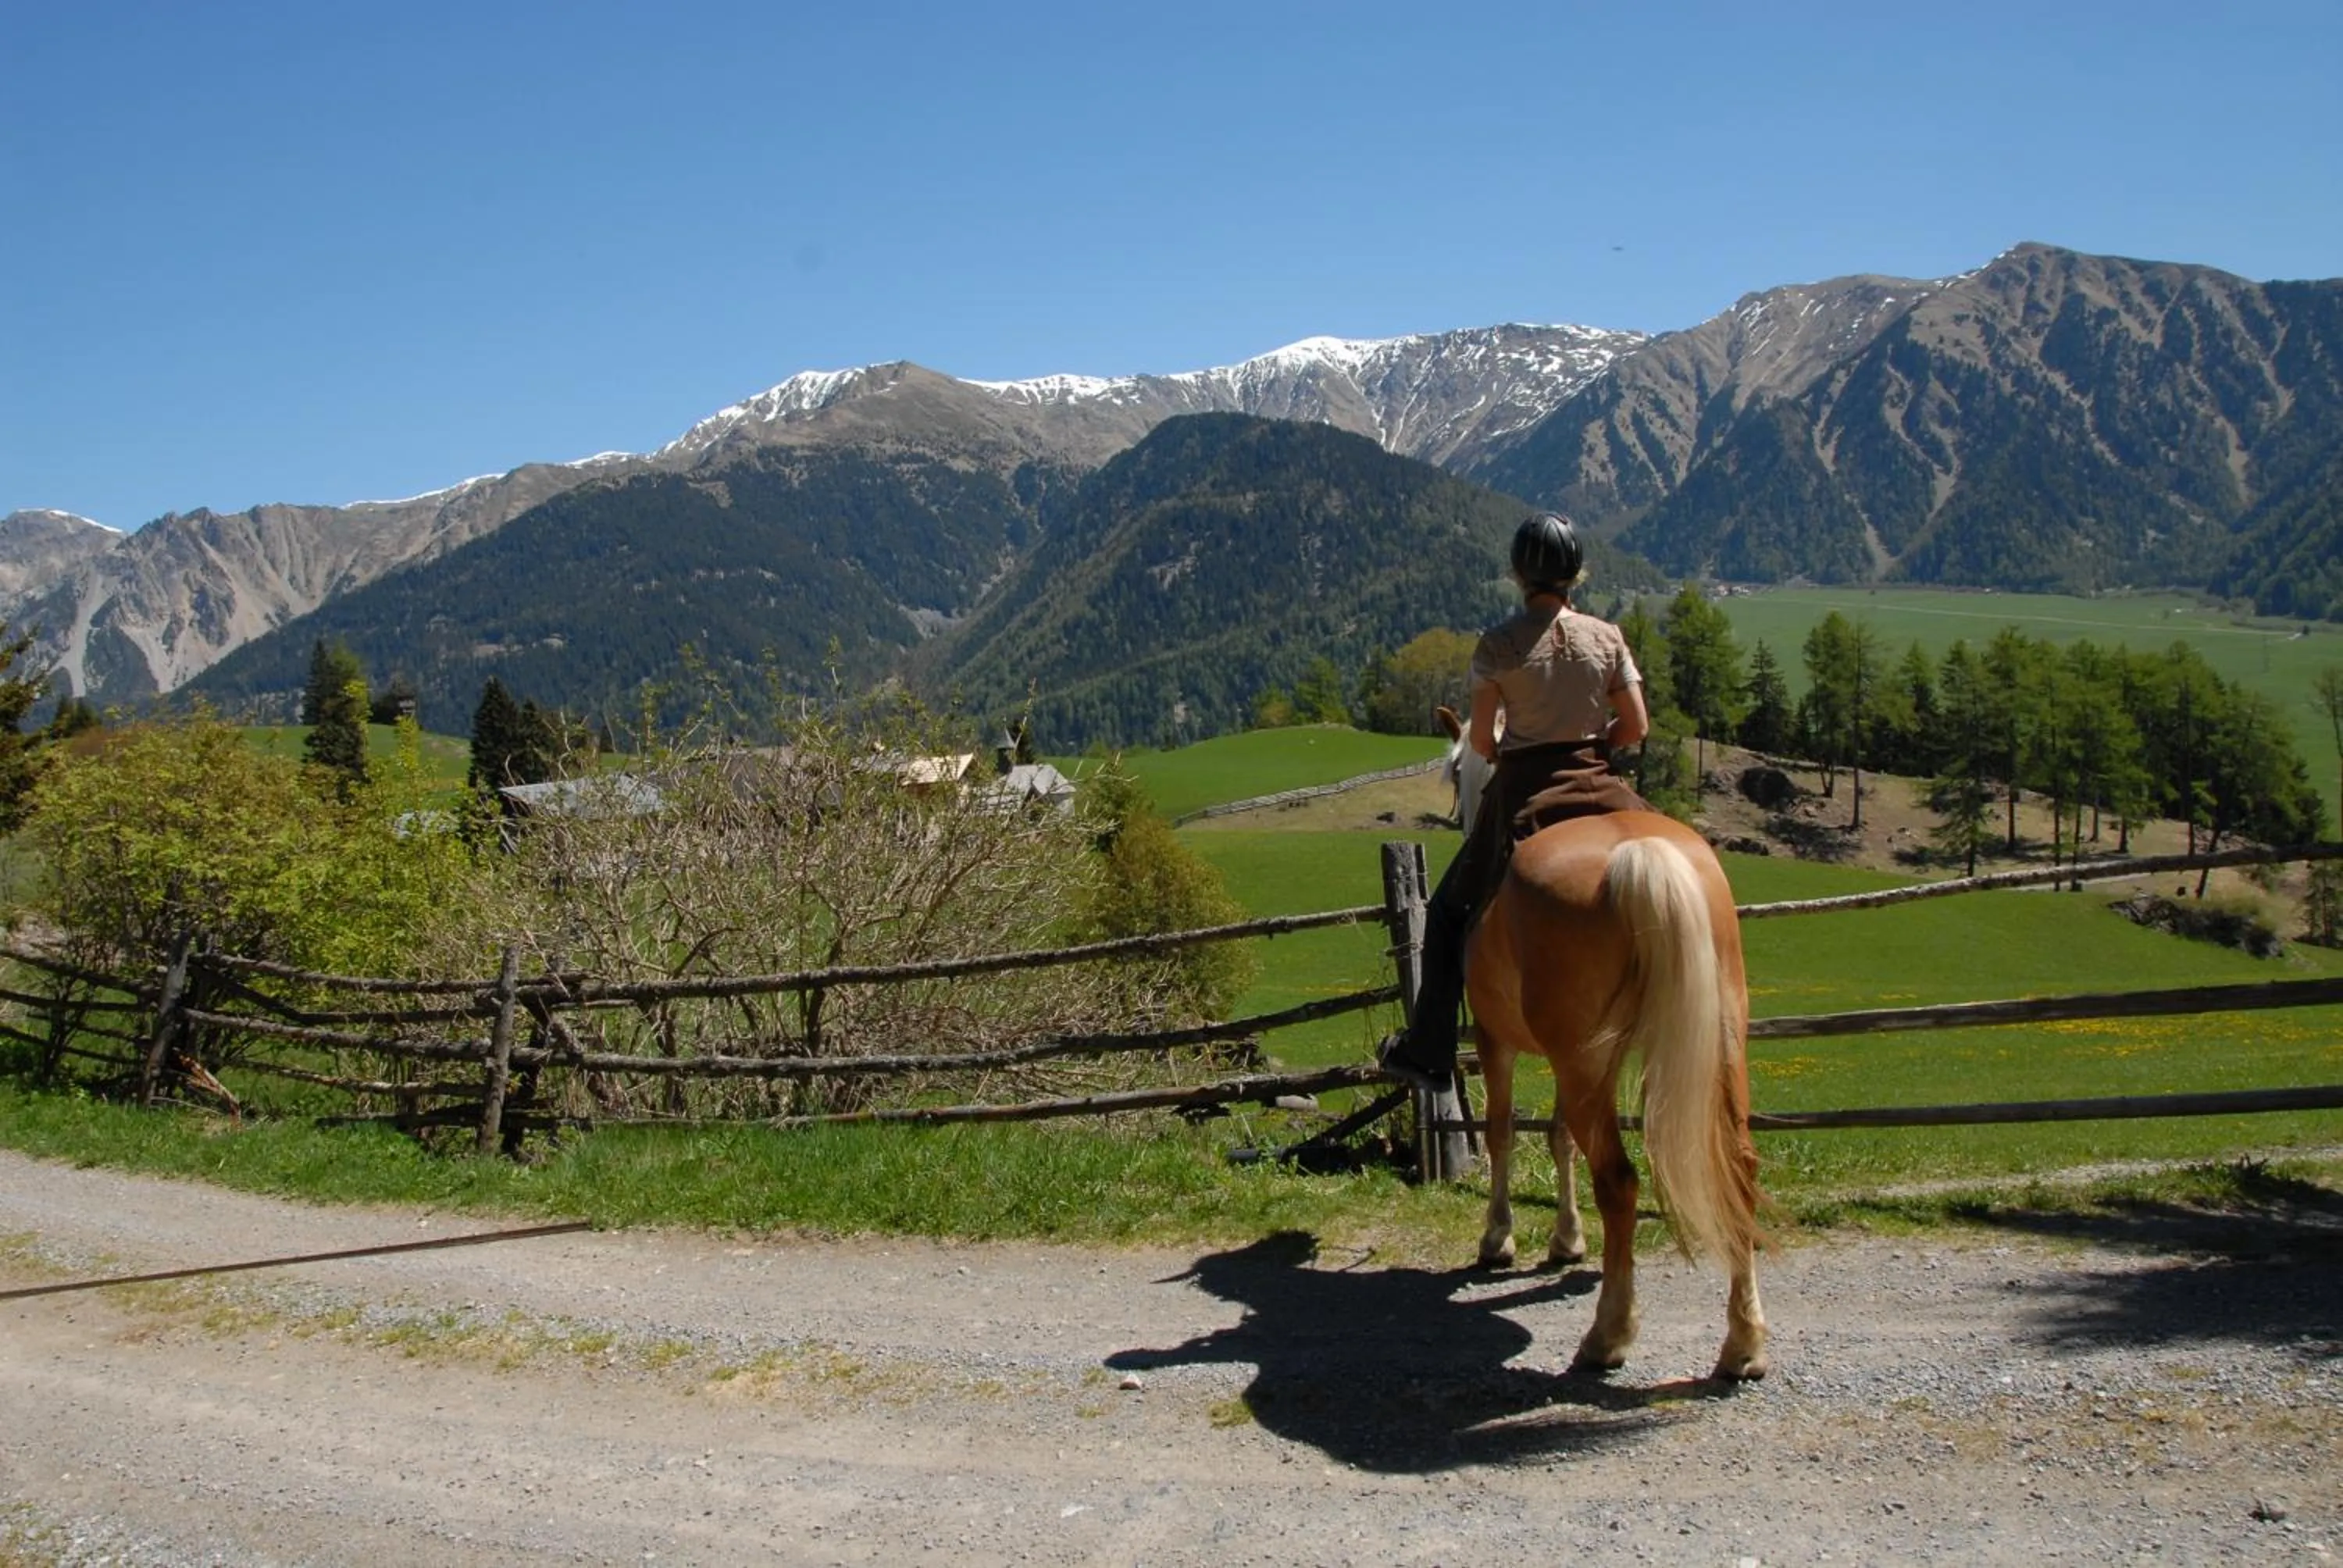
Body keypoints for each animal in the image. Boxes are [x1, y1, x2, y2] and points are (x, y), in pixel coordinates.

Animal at [1433, 706, 1768, 1380]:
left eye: (1458, 768)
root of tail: (1640, 854)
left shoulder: (1497, 1039)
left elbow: (1504, 1132)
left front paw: (1499, 1238)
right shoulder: (1585, 1062)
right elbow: (1559, 1135)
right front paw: (1566, 1240)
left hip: (1581, 1060)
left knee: (1618, 1180)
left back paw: (1608, 1335)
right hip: (1712, 1045)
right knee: (1739, 1163)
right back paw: (1743, 1343)